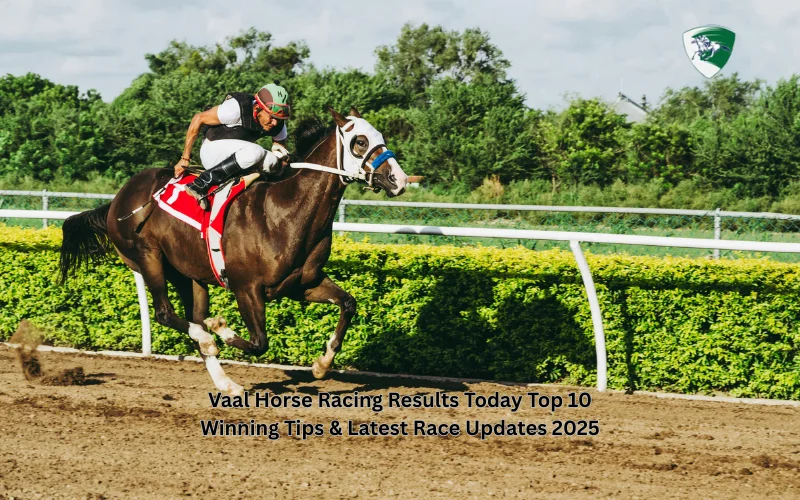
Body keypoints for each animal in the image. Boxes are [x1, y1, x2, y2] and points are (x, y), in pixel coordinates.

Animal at [58, 106, 409, 396]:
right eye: (359, 141)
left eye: (381, 137)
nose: (399, 179)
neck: (285, 211)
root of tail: (116, 201)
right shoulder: (246, 287)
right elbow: (259, 342)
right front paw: (222, 329)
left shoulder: (303, 283)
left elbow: (348, 304)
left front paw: (322, 364)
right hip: (148, 257)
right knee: (165, 313)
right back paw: (208, 338)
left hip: (189, 275)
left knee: (193, 317)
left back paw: (226, 382)